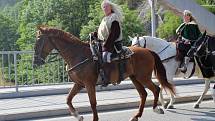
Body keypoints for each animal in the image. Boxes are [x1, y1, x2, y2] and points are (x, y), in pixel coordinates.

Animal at [33, 26, 175, 121]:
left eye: (39, 41)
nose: (35, 62)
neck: (78, 54)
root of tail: (148, 51)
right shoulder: (79, 84)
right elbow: (68, 99)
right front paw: (78, 116)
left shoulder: (89, 84)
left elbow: (93, 103)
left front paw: (94, 119)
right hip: (135, 78)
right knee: (143, 94)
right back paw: (136, 116)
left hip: (143, 77)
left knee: (156, 89)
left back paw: (157, 108)